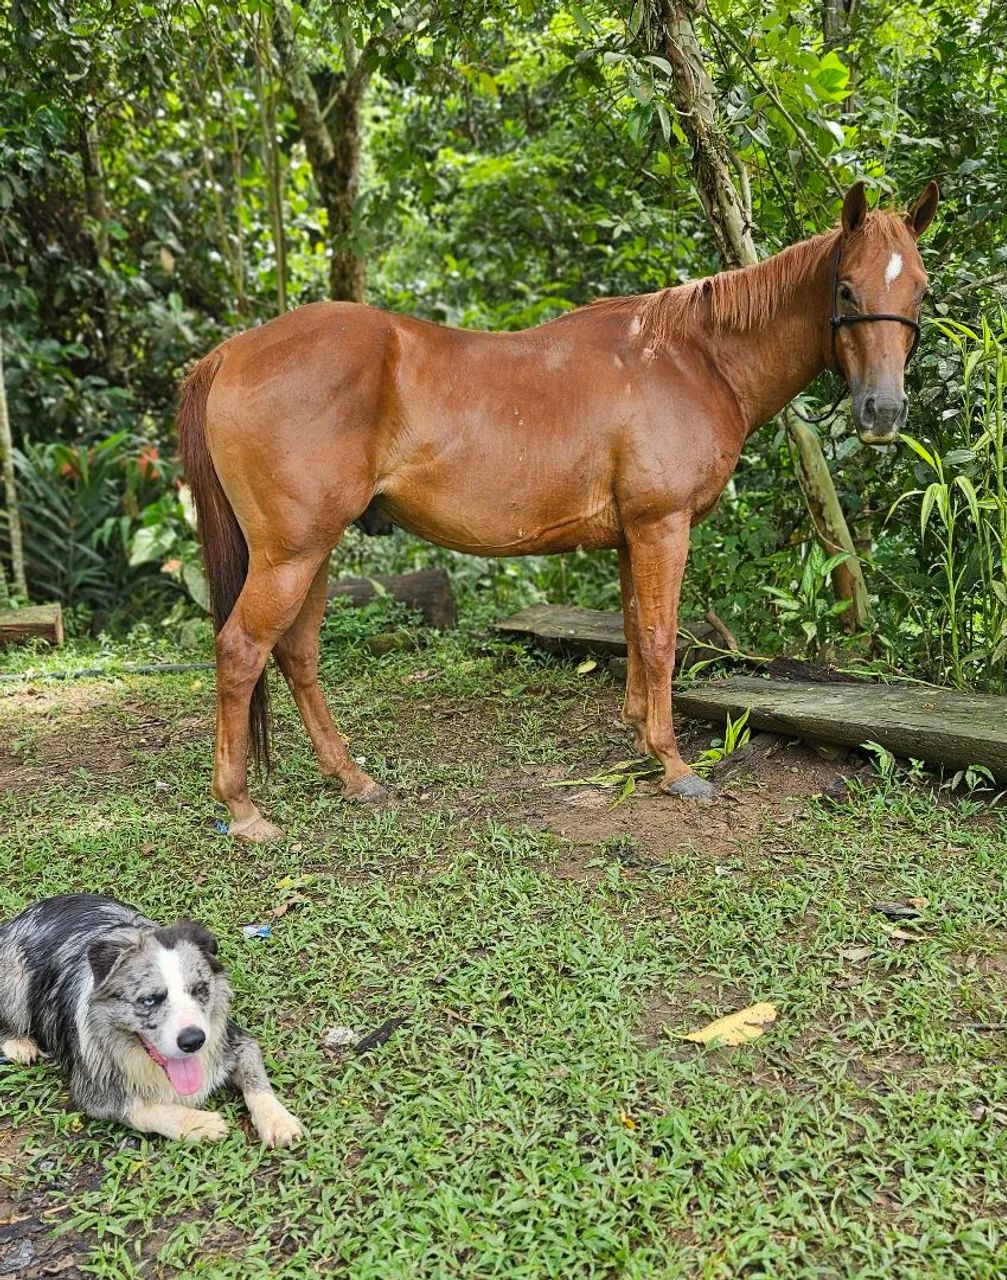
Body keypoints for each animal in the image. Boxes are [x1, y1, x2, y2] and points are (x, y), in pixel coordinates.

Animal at [178, 180, 938, 842]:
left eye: (921, 289)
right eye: (846, 287)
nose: (882, 411)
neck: (692, 357)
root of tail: (229, 354)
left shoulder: (632, 537)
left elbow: (634, 633)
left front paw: (639, 737)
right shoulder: (662, 528)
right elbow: (661, 641)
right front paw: (673, 765)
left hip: (313, 551)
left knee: (296, 652)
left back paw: (352, 779)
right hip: (292, 553)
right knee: (242, 650)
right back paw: (242, 809)